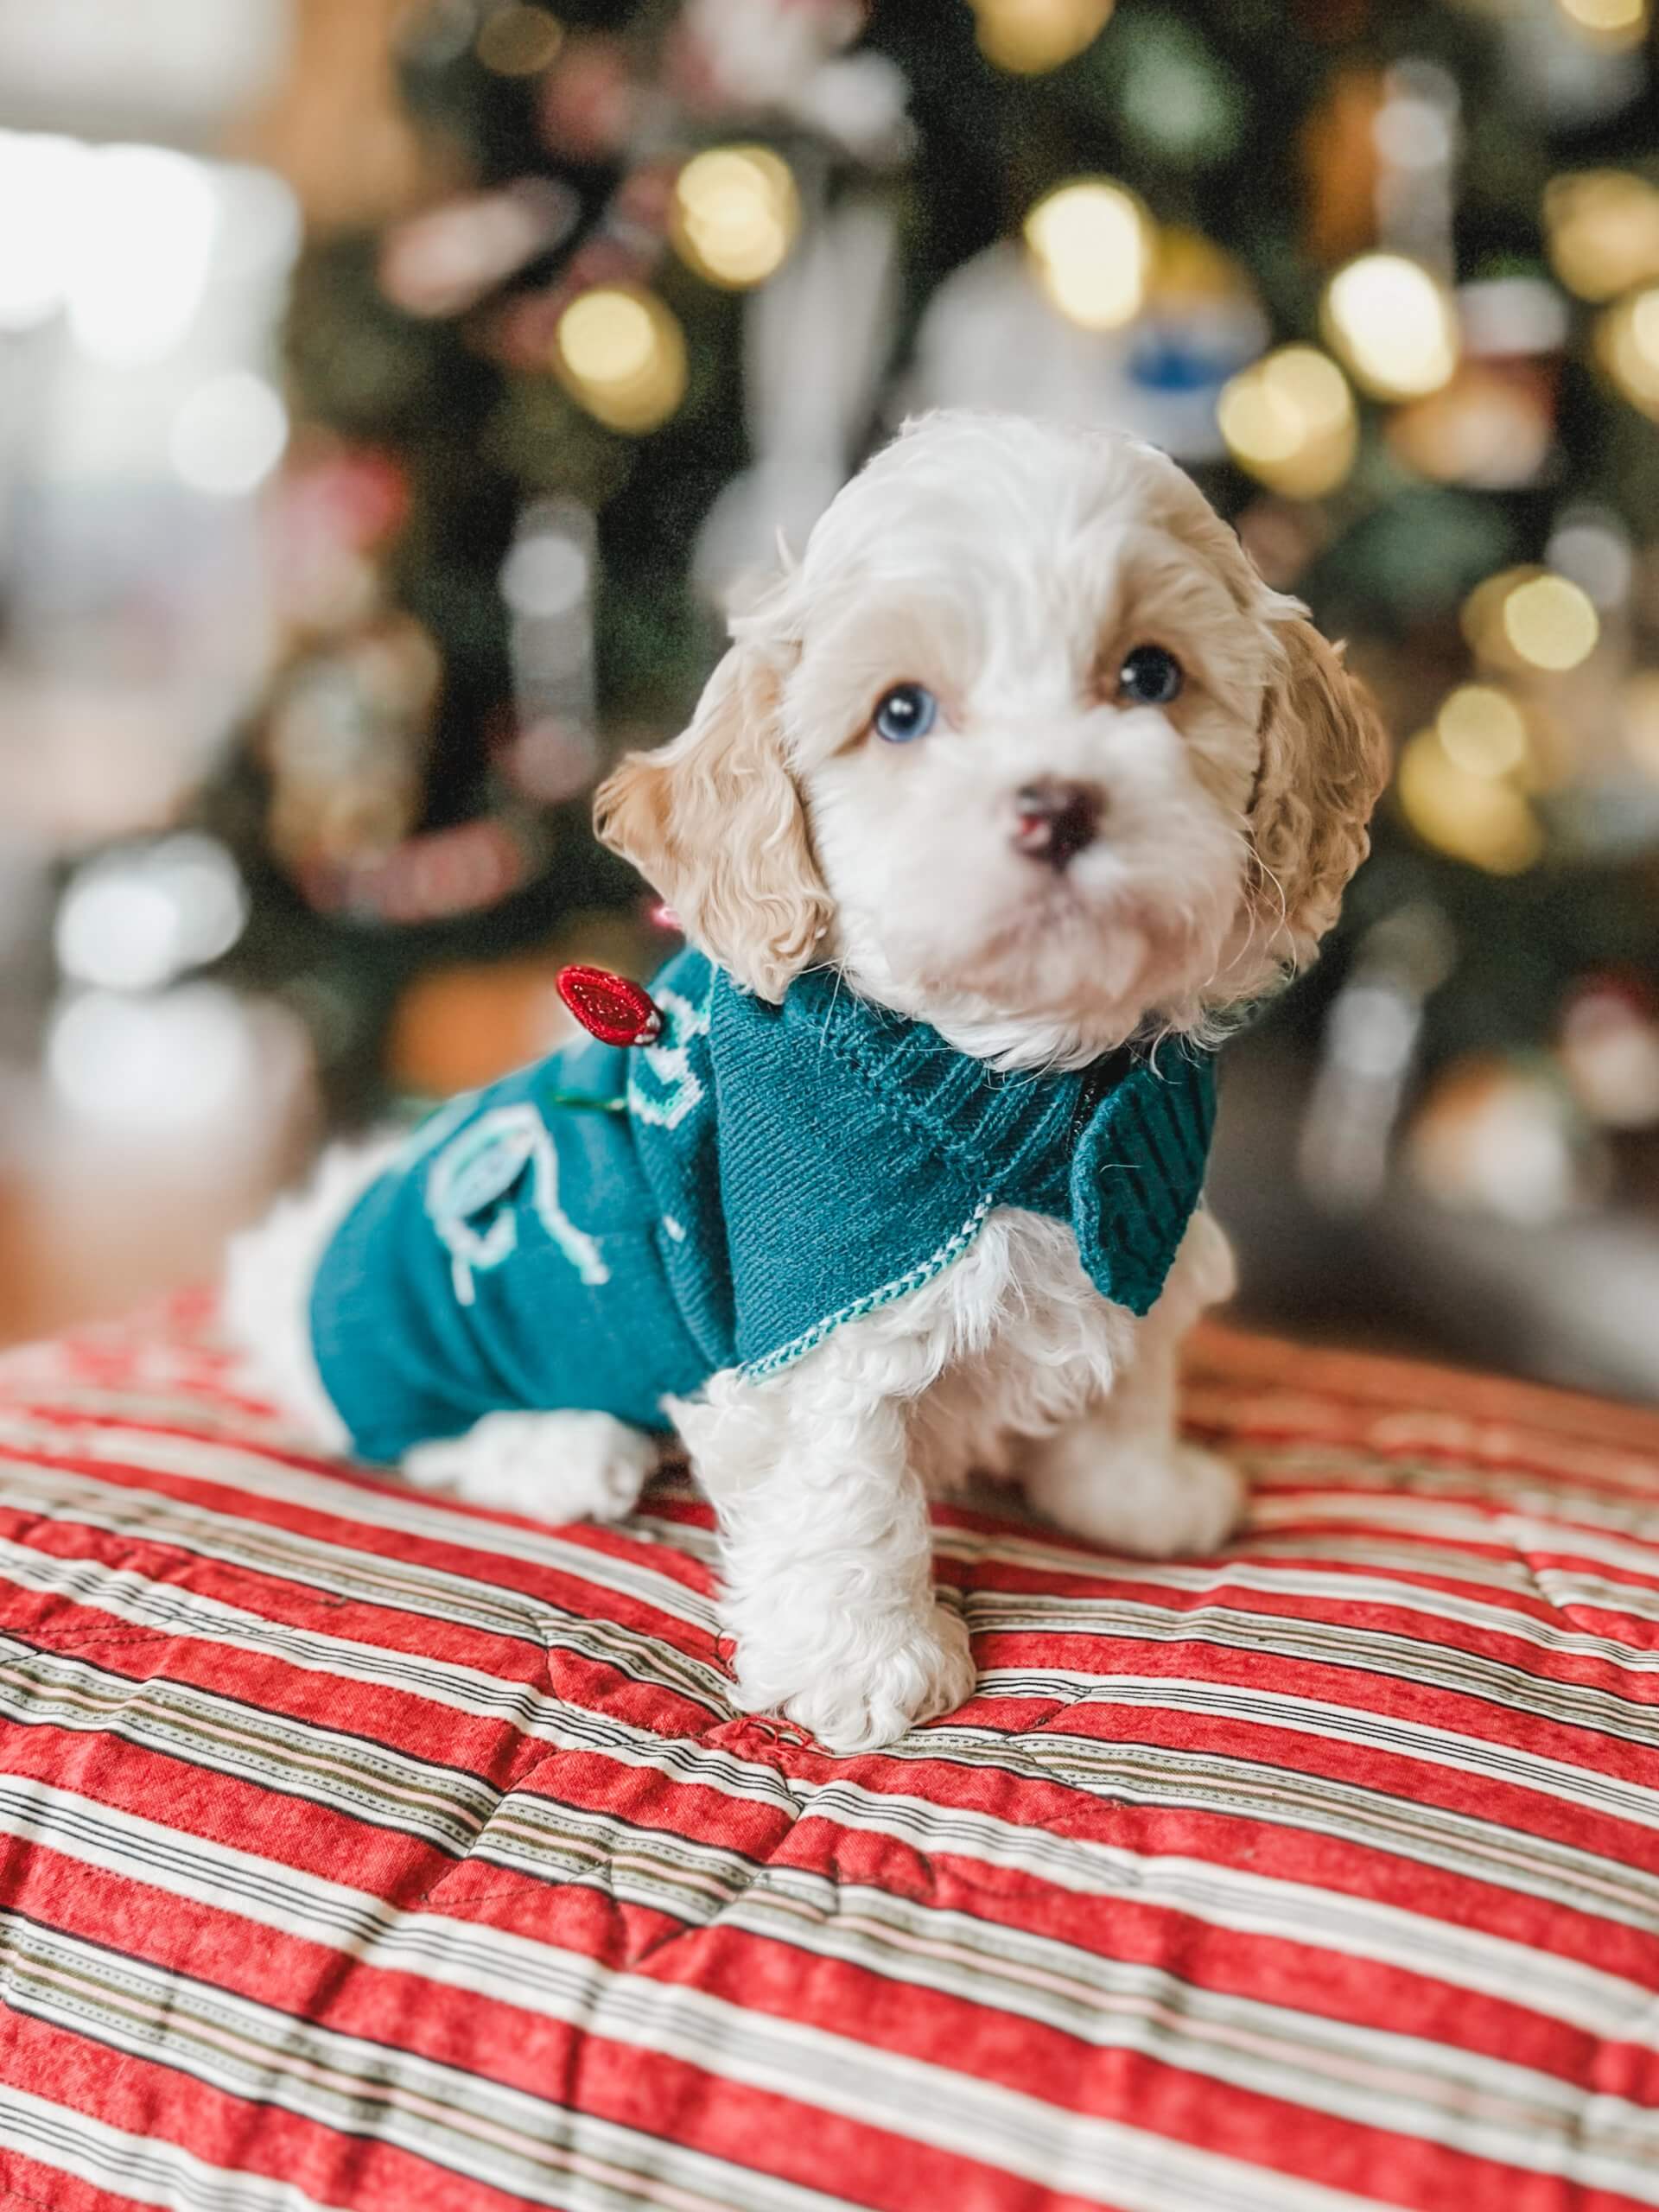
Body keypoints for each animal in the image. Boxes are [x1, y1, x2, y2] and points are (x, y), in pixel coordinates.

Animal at [231, 416, 1389, 1751]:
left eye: (1152, 677)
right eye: (901, 713)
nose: (1057, 805)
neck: (1014, 1080)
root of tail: (303, 1252)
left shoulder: (1144, 1220)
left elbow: (1133, 1369)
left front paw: (1134, 1493)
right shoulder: (812, 1309)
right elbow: (845, 1481)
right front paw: (867, 1660)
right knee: (403, 1436)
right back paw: (560, 1447)